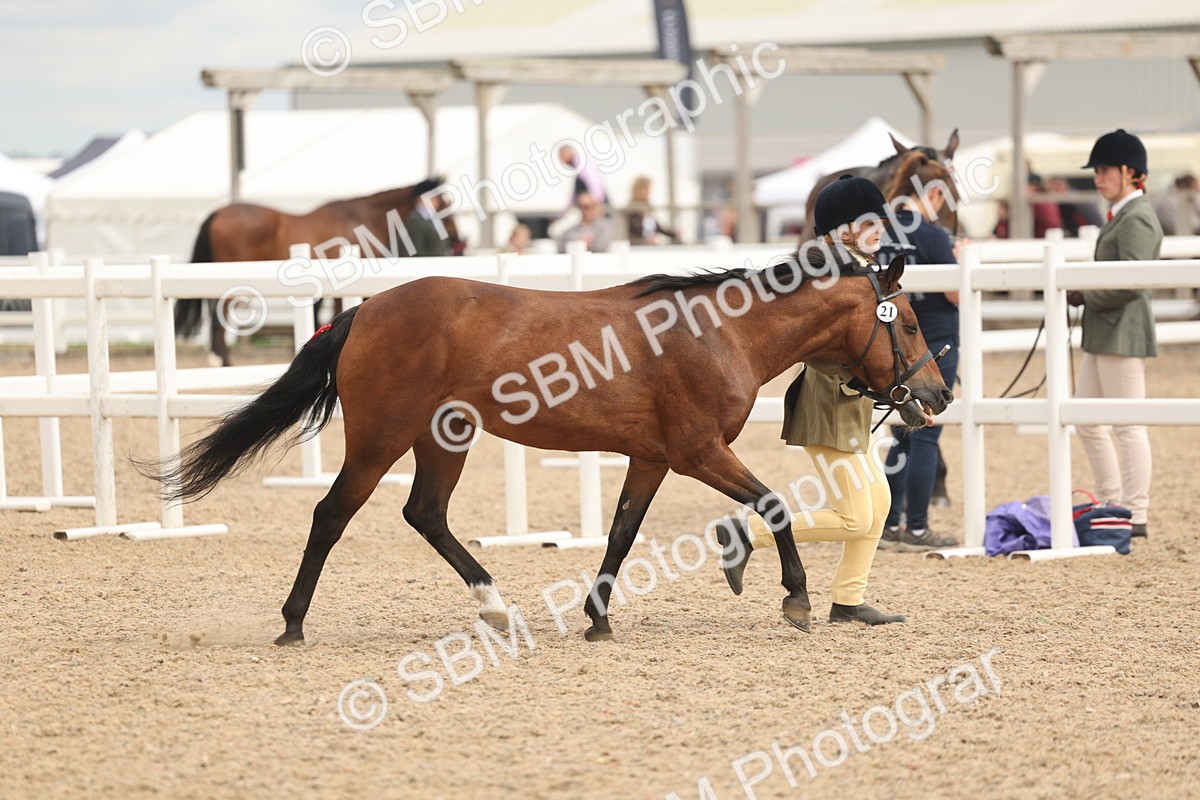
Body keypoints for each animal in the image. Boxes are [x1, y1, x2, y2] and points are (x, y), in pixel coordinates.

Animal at [141, 246, 952, 645]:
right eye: (911, 322)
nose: (938, 394)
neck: (721, 331)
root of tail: (364, 310)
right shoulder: (697, 451)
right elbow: (775, 504)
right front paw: (794, 597)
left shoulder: (653, 458)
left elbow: (622, 533)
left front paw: (598, 618)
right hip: (380, 439)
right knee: (330, 517)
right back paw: (293, 624)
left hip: (444, 439)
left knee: (425, 515)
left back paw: (496, 608)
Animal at [175, 177, 459, 366]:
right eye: (442, 208)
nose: (458, 242)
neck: (361, 217)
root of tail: (216, 214)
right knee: (219, 319)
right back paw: (223, 361)